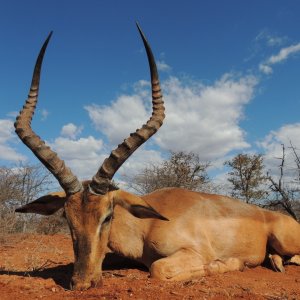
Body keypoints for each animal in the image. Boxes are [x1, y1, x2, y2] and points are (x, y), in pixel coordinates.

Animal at [14, 25, 300, 290]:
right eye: (67, 217)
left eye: (107, 216)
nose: (82, 282)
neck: (147, 225)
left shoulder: (192, 253)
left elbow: (158, 269)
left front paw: (232, 263)